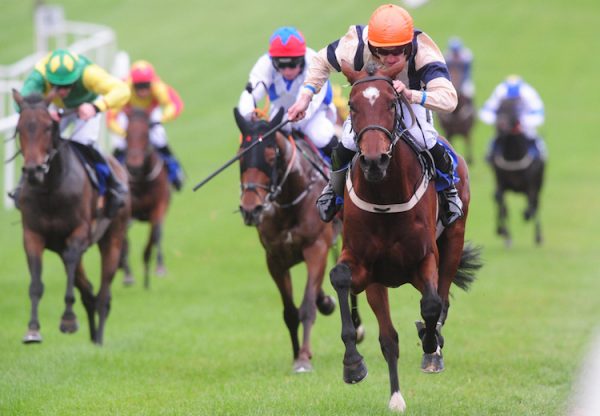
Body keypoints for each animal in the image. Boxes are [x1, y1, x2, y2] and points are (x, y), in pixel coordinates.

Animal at [12, 89, 129, 346]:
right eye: (20, 127)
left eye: (48, 127)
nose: (33, 170)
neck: (52, 189)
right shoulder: (32, 235)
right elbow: (36, 283)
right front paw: (32, 329)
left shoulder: (79, 233)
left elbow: (73, 260)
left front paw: (68, 320)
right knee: (86, 288)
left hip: (113, 237)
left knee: (103, 291)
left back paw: (99, 339)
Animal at [233, 107, 364, 374]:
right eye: (241, 156)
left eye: (270, 156)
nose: (251, 209)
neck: (289, 201)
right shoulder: (274, 259)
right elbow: (290, 311)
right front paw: (297, 353)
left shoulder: (316, 249)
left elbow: (306, 306)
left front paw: (303, 357)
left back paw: (356, 327)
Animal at [328, 61, 482, 412]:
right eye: (352, 106)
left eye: (390, 103)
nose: (374, 160)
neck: (385, 196)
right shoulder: (365, 267)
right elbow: (341, 277)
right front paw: (352, 364)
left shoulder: (424, 258)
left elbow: (432, 304)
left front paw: (431, 346)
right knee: (389, 337)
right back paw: (396, 396)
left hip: (453, 240)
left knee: (443, 298)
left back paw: (432, 346)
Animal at [490, 96, 548, 247]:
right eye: (498, 110)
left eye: (514, 110)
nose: (500, 125)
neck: (513, 155)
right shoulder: (500, 183)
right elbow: (503, 207)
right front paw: (505, 234)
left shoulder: (531, 185)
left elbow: (530, 206)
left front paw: (526, 216)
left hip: (539, 183)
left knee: (536, 205)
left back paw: (538, 236)